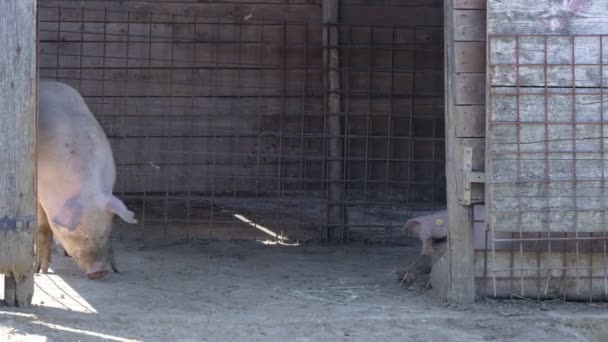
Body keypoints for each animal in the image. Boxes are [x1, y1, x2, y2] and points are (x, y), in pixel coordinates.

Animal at [36, 80, 139, 278]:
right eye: (77, 233)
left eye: (104, 233)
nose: (99, 271)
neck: (87, 188)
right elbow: (43, 227)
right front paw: (41, 271)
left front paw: (116, 269)